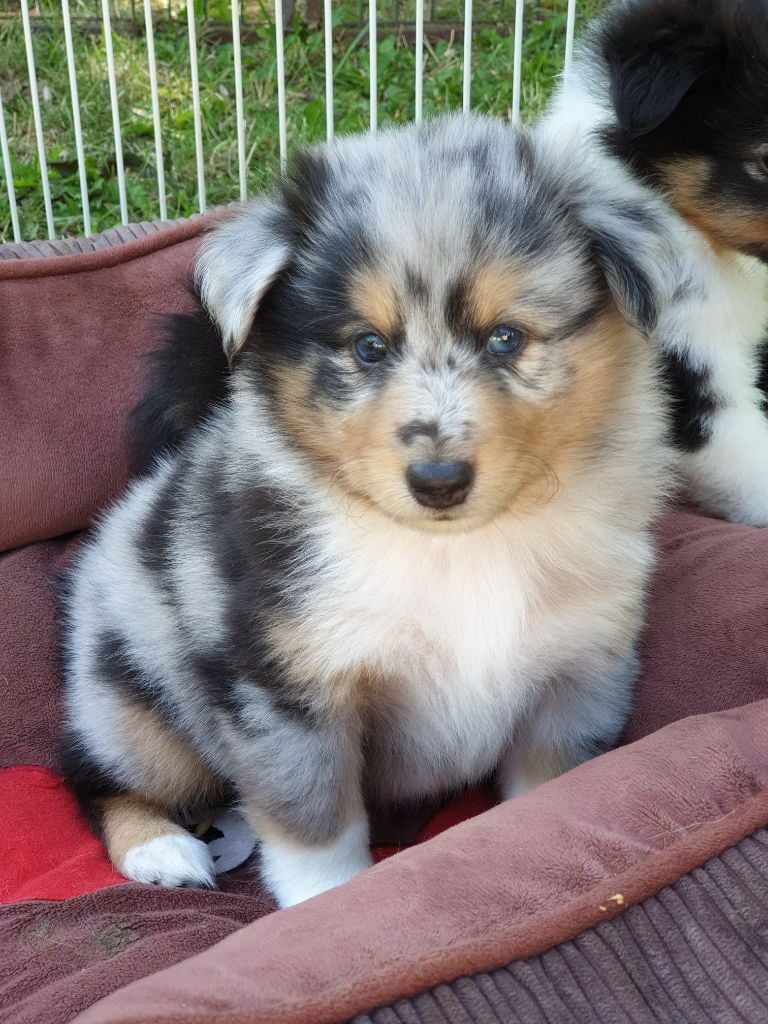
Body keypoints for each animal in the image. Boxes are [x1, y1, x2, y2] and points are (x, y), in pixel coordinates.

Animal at [61, 116, 679, 909]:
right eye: (368, 346)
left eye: (505, 337)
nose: (438, 481)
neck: (457, 547)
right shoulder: (286, 687)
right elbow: (315, 826)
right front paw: (328, 904)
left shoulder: (578, 668)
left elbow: (547, 789)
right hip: (133, 703)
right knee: (90, 772)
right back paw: (161, 849)